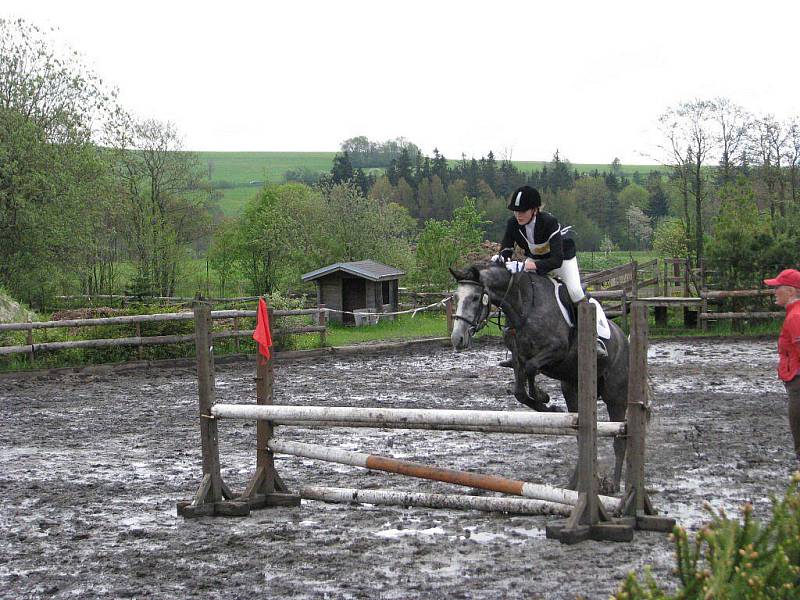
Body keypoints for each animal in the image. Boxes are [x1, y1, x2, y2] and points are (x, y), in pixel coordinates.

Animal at [450, 260, 632, 490]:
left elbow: (531, 368)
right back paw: (575, 484)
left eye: (475, 297)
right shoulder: (517, 357)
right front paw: (547, 405)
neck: (523, 307)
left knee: (619, 438)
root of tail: (624, 340)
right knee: (581, 435)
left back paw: (614, 485)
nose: (457, 339)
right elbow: (520, 390)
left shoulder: (556, 350)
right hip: (573, 389)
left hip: (615, 397)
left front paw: (543, 397)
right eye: (456, 297)